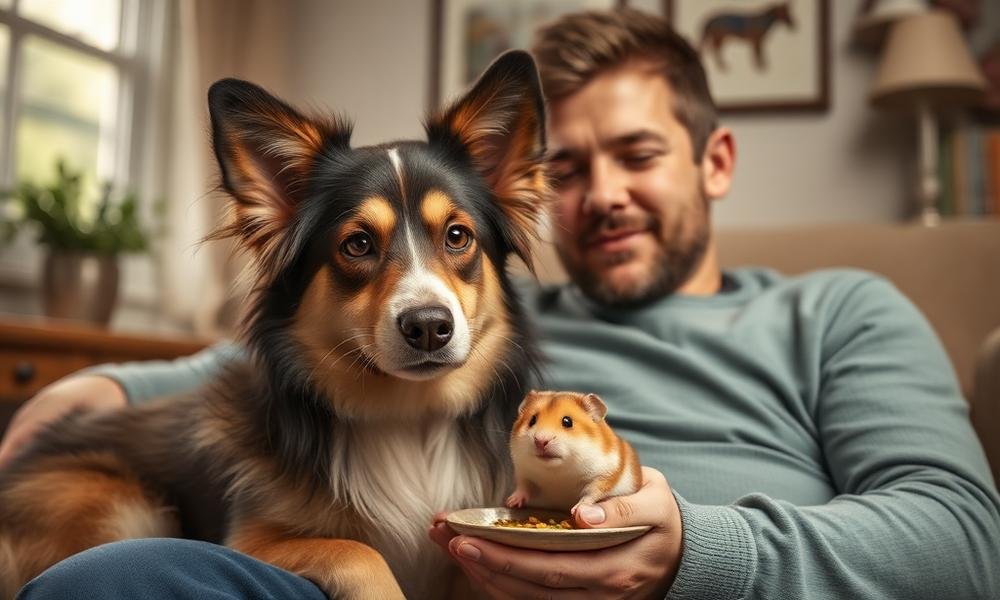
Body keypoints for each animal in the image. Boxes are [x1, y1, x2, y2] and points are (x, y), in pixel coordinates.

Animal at [505, 390, 642, 516]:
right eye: (532, 420)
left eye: (567, 421)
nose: (541, 441)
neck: (556, 473)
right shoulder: (523, 473)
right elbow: (524, 487)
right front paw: (511, 502)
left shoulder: (606, 475)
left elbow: (591, 493)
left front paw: (577, 510)